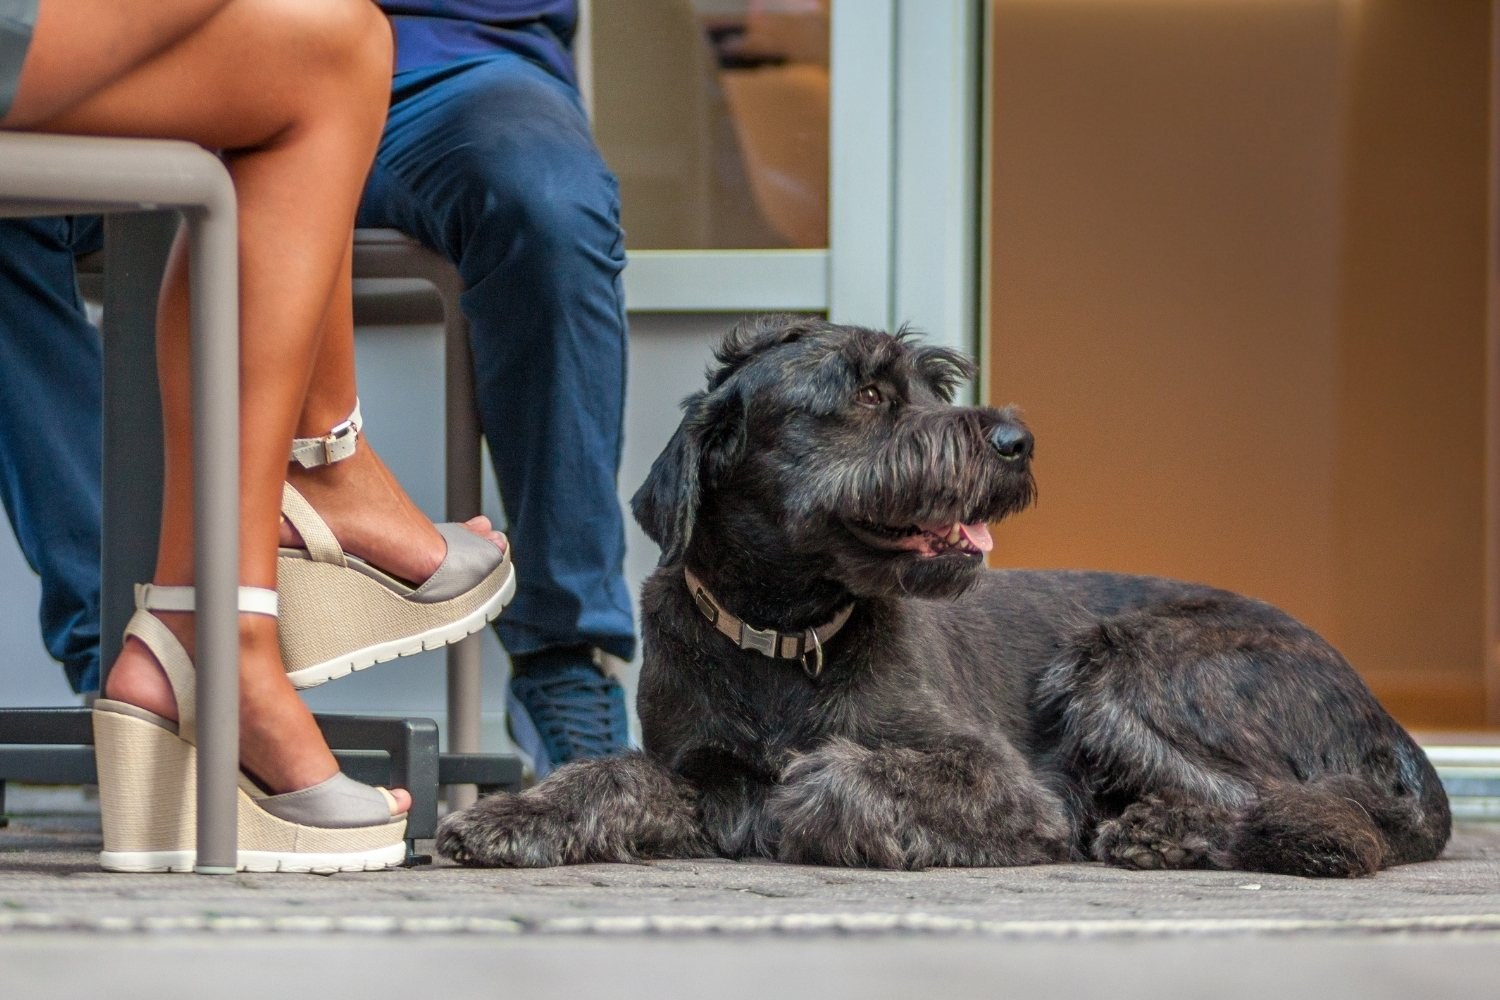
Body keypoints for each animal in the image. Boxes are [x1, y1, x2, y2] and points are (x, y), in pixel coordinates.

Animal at [438, 314, 1446, 875]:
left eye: (934, 383)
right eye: (869, 393)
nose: (1016, 442)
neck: (787, 630)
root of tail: (1379, 713)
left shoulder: (1001, 778)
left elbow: (840, 775)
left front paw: (806, 796)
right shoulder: (693, 767)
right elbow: (611, 775)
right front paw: (510, 817)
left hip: (1123, 665)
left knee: (1330, 817)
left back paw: (1170, 833)